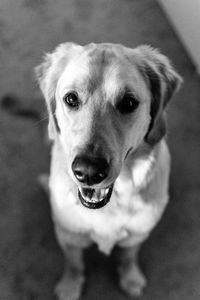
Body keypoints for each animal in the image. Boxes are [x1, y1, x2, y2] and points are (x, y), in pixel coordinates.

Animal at [35, 42, 182, 300]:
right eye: (71, 99)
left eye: (129, 103)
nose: (88, 172)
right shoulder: (68, 235)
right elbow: (74, 263)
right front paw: (70, 285)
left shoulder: (138, 234)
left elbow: (129, 256)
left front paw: (130, 278)